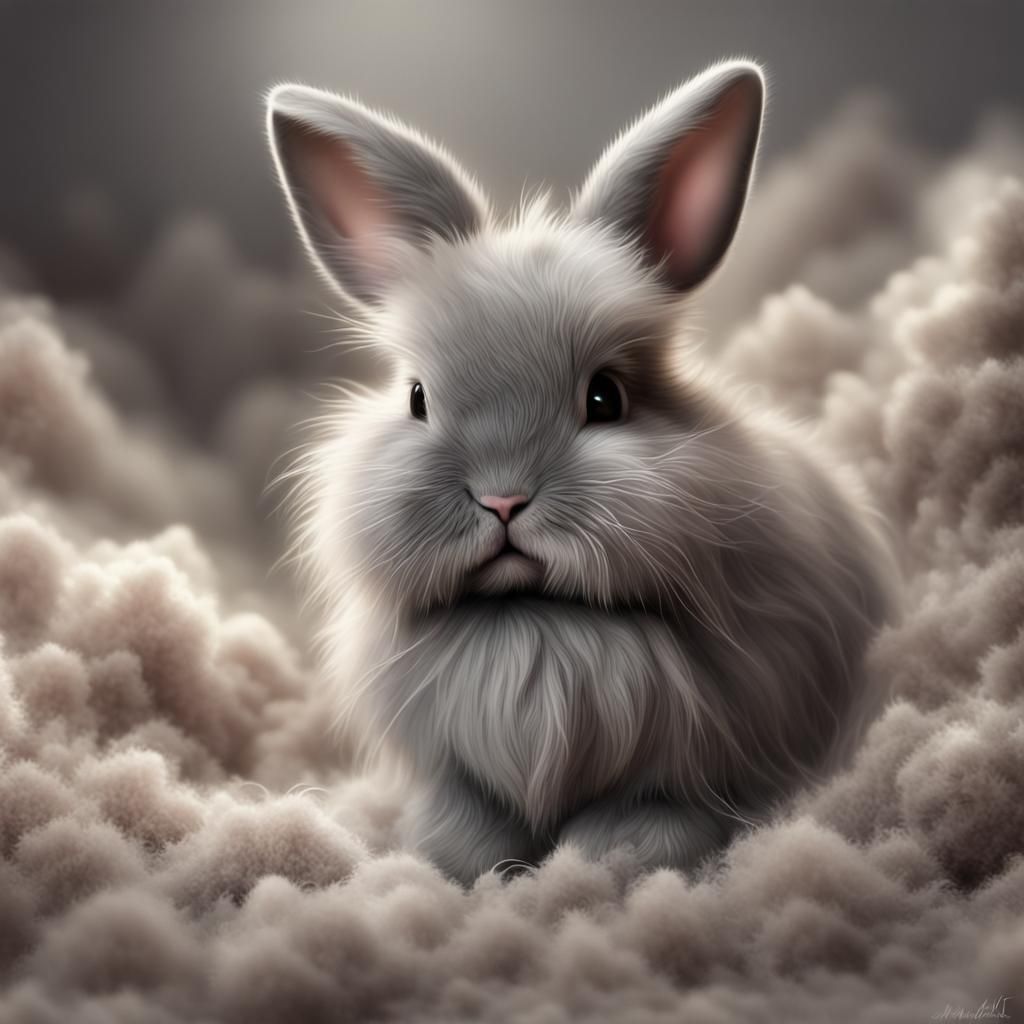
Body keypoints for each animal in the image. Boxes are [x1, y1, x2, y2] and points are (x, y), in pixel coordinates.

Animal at [266, 59, 897, 885]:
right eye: (417, 397)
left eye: (606, 397)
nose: (503, 499)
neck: (534, 621)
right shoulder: (460, 774)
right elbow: (466, 831)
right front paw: (462, 865)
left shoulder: (690, 762)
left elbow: (650, 821)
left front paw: (602, 862)